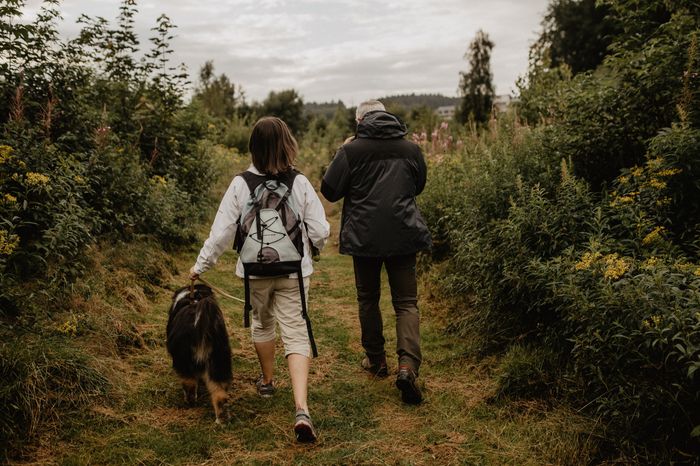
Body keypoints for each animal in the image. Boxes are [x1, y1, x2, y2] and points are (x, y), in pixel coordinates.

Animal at [166, 284, 232, 422]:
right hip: (218, 361)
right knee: (220, 394)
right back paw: (221, 420)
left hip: (184, 361)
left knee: (189, 385)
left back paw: (189, 403)